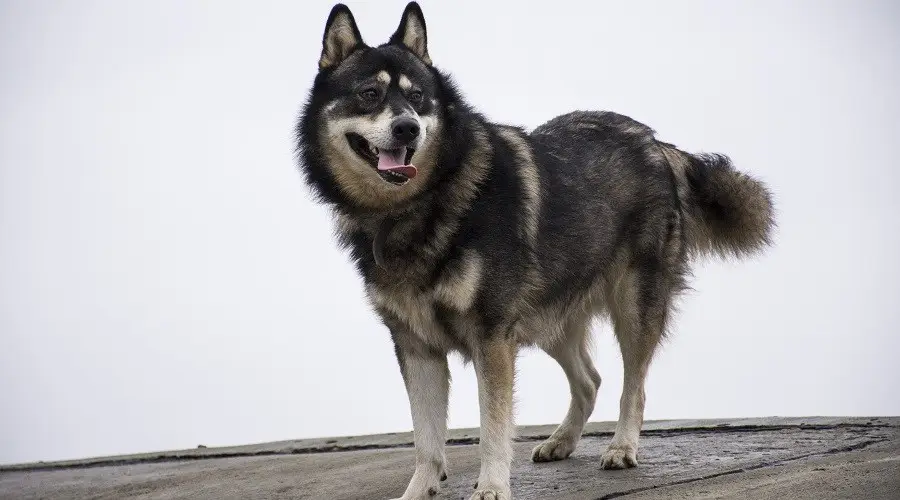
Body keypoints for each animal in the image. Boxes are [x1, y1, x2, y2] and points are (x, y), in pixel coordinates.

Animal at [296, 4, 772, 500]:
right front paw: (419, 491)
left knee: (633, 386)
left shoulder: (491, 338)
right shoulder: (416, 346)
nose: (407, 127)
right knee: (590, 380)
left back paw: (621, 448)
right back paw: (561, 441)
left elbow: (492, 427)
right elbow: (426, 441)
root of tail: (656, 142)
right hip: (547, 316)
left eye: (419, 98)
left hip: (632, 306)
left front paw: (491, 488)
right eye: (368, 94)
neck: (420, 206)